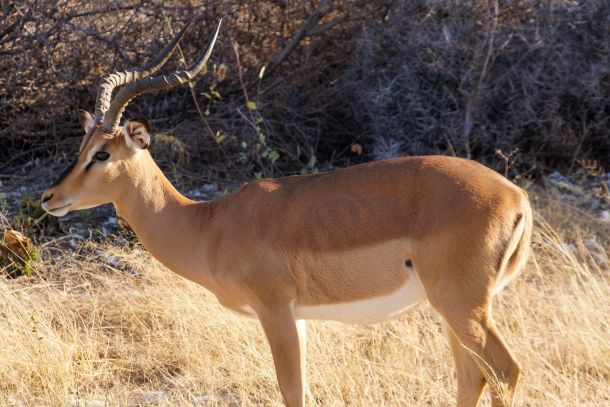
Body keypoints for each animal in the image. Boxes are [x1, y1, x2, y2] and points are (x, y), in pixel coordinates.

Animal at [41, 19, 533, 407]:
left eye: (103, 154)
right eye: (82, 146)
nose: (49, 197)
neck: (210, 226)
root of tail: (518, 198)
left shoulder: (275, 311)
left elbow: (292, 391)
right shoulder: (298, 318)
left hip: (461, 305)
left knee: (504, 372)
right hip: (454, 310)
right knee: (472, 376)